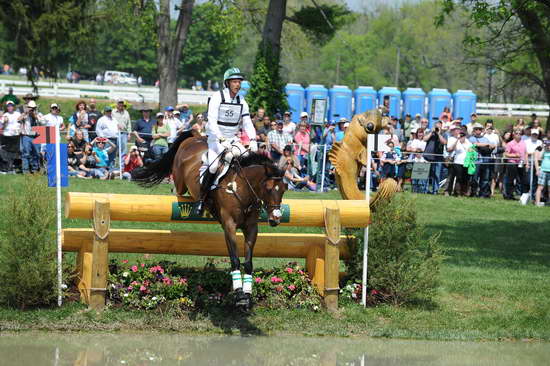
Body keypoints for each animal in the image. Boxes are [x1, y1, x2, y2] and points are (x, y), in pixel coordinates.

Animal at [133, 132, 288, 308]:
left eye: (284, 189)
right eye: (268, 189)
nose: (275, 219)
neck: (240, 187)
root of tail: (194, 137)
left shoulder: (251, 228)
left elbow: (248, 262)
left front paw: (247, 295)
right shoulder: (229, 225)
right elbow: (235, 259)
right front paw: (239, 294)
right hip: (180, 182)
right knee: (177, 188)